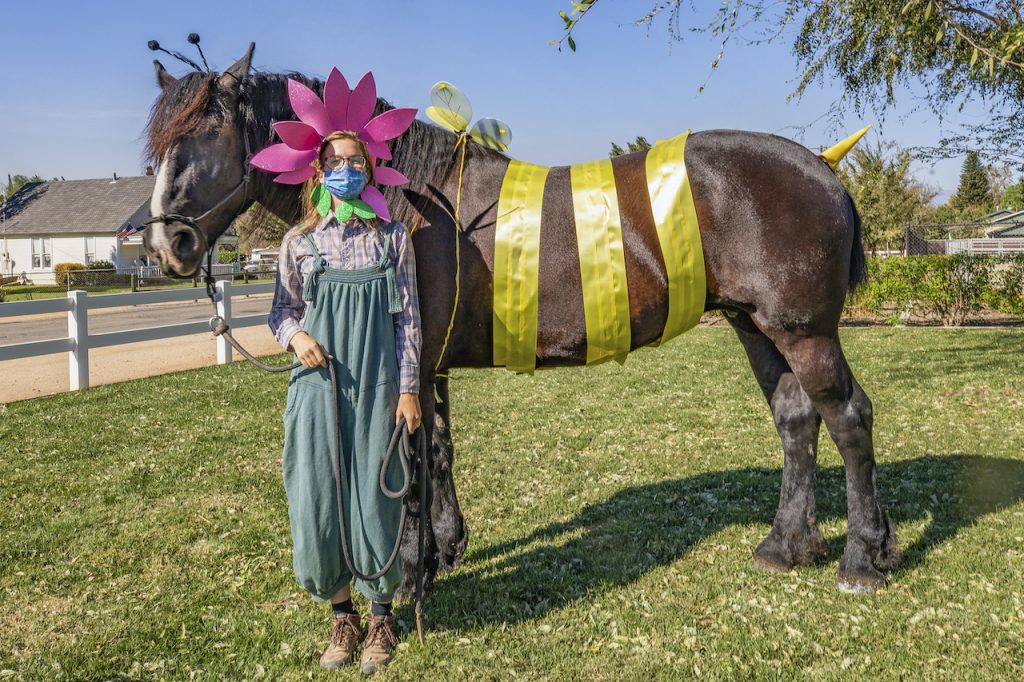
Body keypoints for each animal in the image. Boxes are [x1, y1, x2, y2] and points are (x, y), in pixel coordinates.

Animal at [142, 43, 897, 593]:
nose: (167, 243)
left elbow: (411, 458)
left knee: (847, 417)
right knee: (796, 420)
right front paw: (445, 549)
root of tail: (823, 169)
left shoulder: (413, 354)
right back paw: (786, 545)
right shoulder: (430, 360)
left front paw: (412, 570)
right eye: (159, 145)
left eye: (212, 129)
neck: (408, 197)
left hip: (804, 331)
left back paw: (862, 558)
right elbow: (436, 450)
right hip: (757, 324)